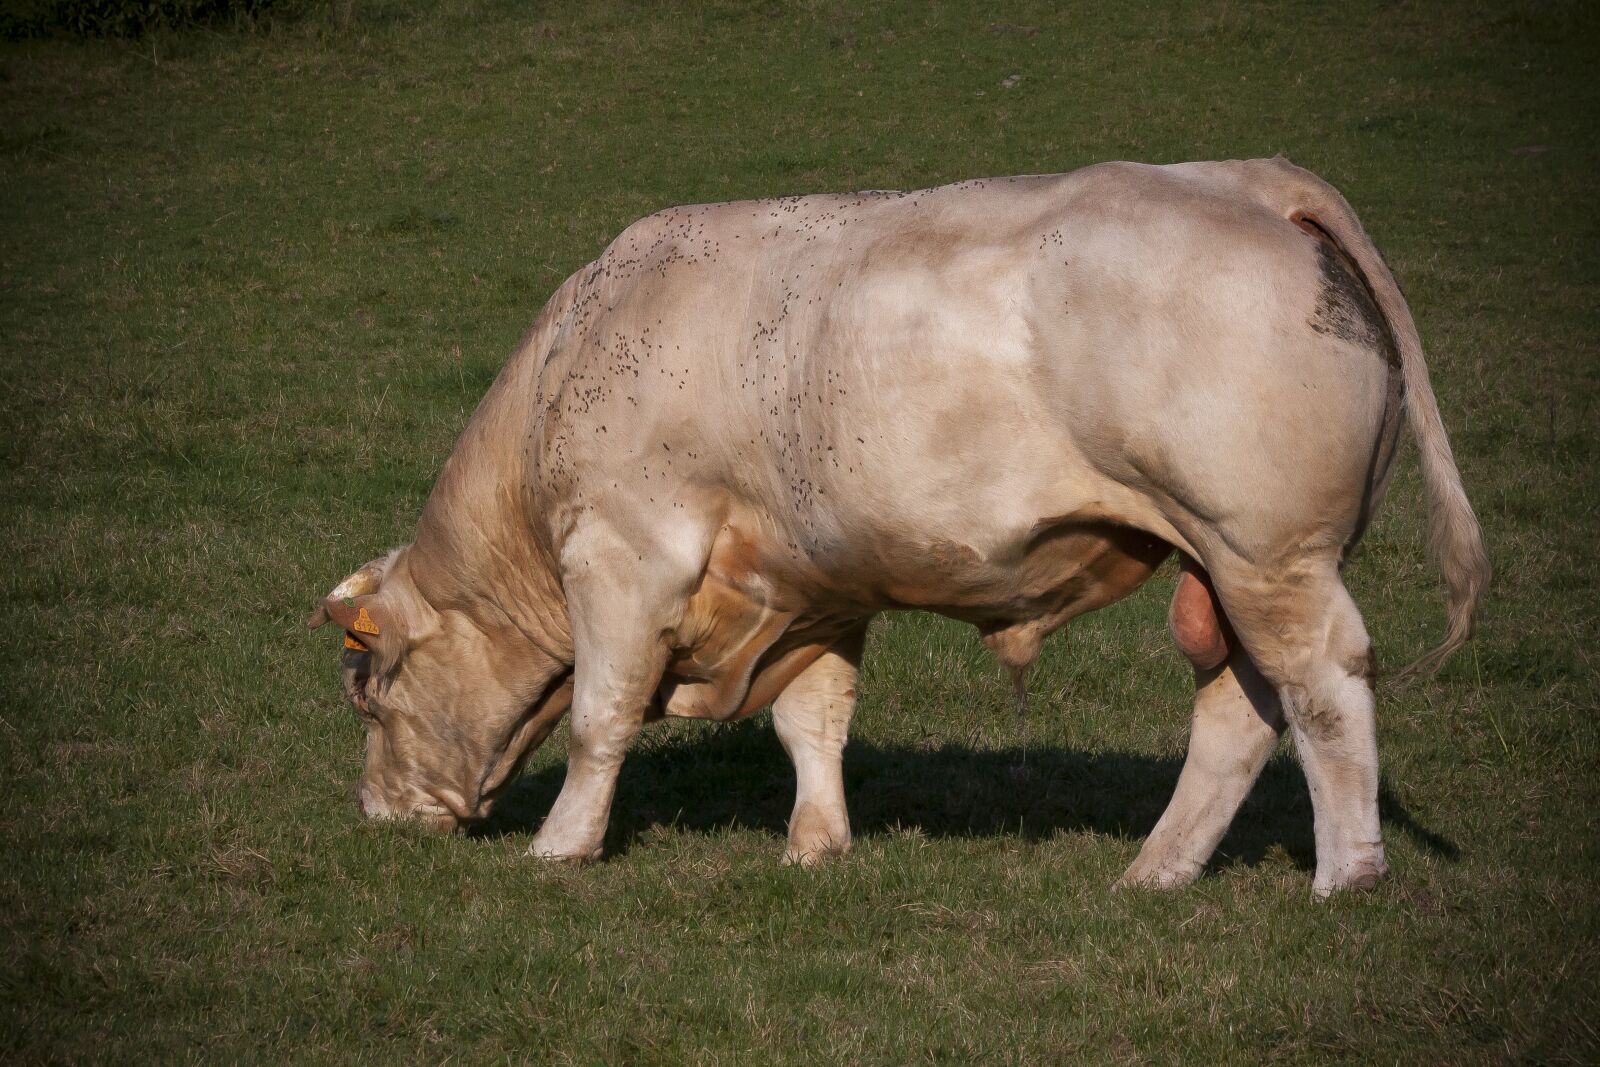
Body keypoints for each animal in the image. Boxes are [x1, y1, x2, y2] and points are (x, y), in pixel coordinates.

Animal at [309, 158, 1488, 896]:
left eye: (369, 691)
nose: (375, 816)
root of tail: (1245, 177)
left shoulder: (625, 552)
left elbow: (602, 716)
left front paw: (562, 847)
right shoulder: (811, 585)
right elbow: (812, 721)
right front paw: (816, 846)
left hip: (1269, 555)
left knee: (1323, 690)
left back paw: (1345, 875)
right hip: (1227, 568)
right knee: (1241, 710)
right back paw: (1156, 870)